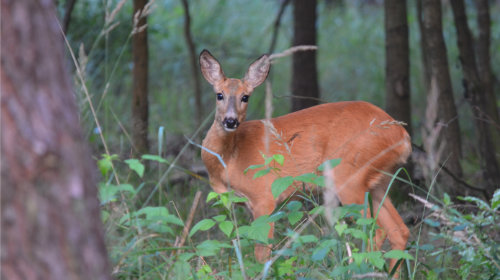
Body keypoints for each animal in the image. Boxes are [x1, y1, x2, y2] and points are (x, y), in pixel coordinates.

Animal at [199, 49, 410, 274]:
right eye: (219, 95)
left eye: (245, 97)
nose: (230, 121)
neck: (230, 159)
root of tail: (403, 135)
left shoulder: (264, 196)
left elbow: (262, 253)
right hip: (378, 182)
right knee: (398, 230)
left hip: (349, 177)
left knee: (372, 231)